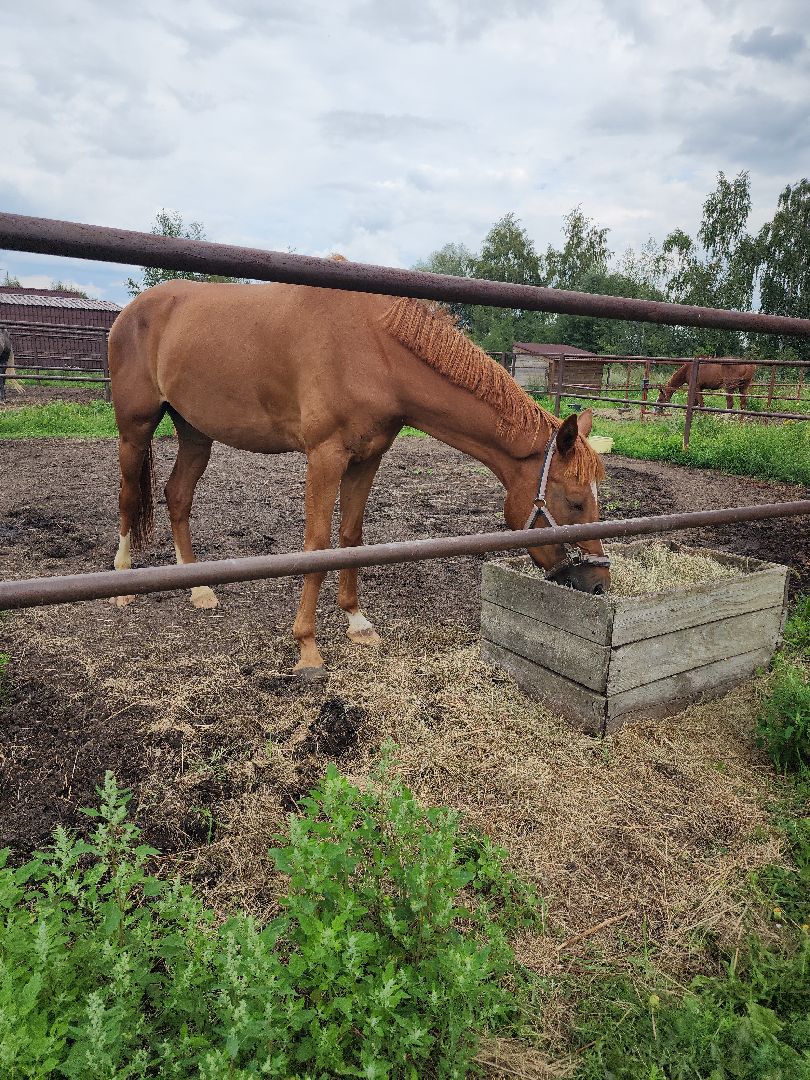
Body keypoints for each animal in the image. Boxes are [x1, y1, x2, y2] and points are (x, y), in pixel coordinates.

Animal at [107, 278, 609, 675]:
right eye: (575, 501)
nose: (599, 584)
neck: (373, 349)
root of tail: (131, 311)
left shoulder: (367, 459)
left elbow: (350, 536)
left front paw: (356, 622)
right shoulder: (325, 457)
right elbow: (316, 544)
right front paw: (308, 647)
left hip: (195, 433)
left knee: (177, 496)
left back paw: (198, 589)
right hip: (135, 429)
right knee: (129, 496)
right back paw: (122, 583)